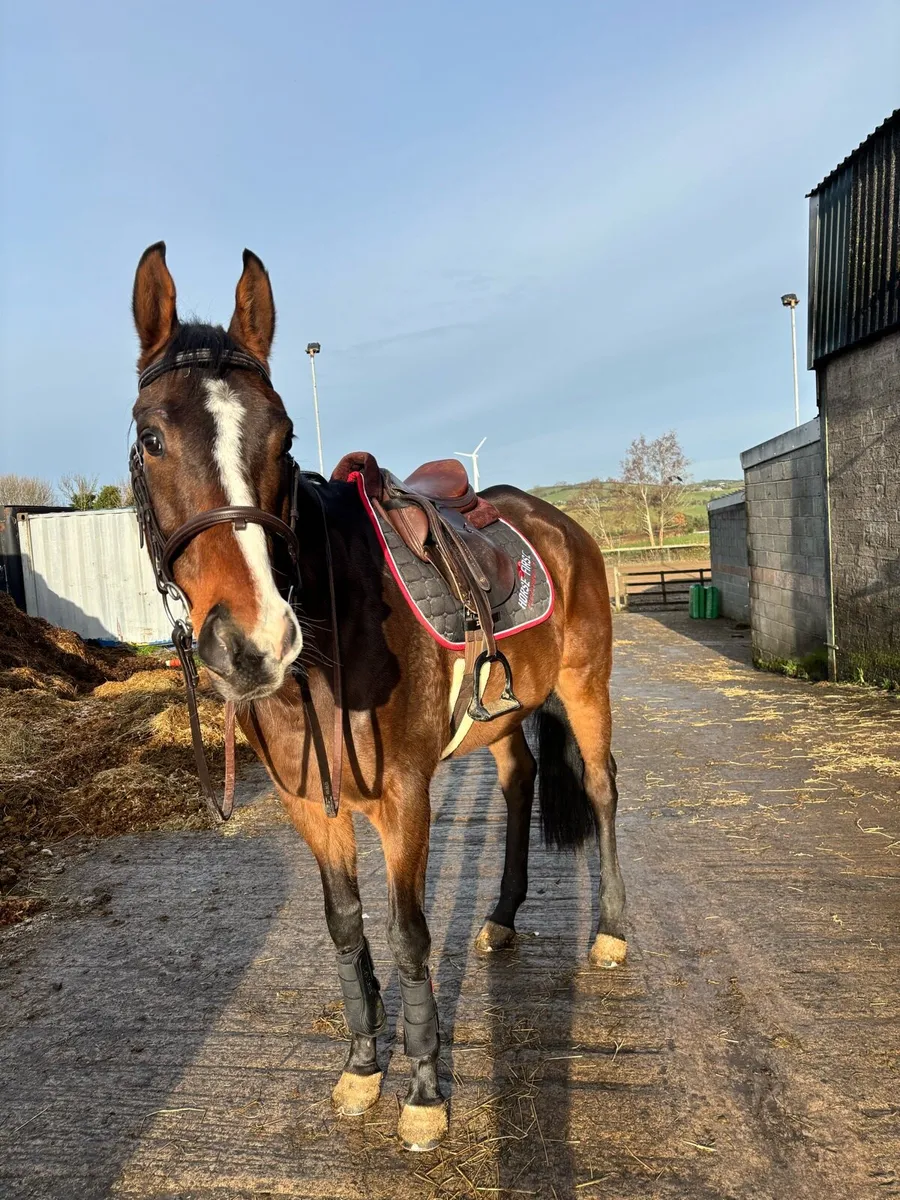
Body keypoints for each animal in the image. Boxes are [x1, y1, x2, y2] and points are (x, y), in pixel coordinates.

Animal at [129, 242, 626, 1151]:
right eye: (152, 437)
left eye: (284, 436)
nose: (253, 642)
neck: (330, 632)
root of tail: (562, 525)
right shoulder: (310, 804)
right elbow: (345, 926)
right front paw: (364, 1066)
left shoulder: (404, 796)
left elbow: (406, 933)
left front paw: (424, 1089)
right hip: (504, 719)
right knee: (520, 784)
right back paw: (502, 916)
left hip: (585, 686)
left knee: (604, 789)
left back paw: (610, 932)